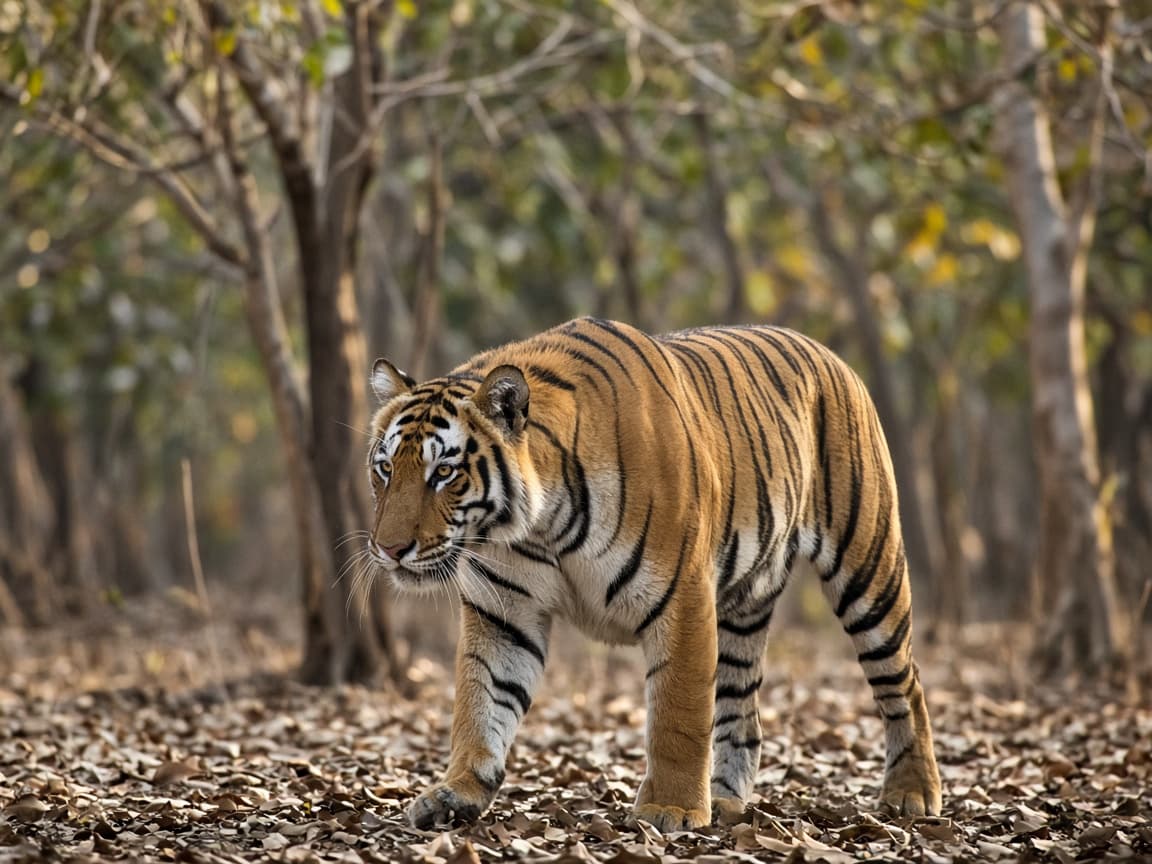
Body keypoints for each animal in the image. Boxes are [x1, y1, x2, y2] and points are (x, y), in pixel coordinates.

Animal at [366, 317, 942, 832]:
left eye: (445, 473)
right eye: (386, 469)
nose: (389, 549)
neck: (539, 525)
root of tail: (829, 353)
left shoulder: (681, 598)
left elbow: (677, 716)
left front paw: (670, 809)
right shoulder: (502, 612)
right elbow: (480, 702)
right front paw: (456, 793)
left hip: (869, 571)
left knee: (905, 684)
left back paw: (911, 794)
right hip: (742, 609)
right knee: (743, 714)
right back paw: (726, 802)